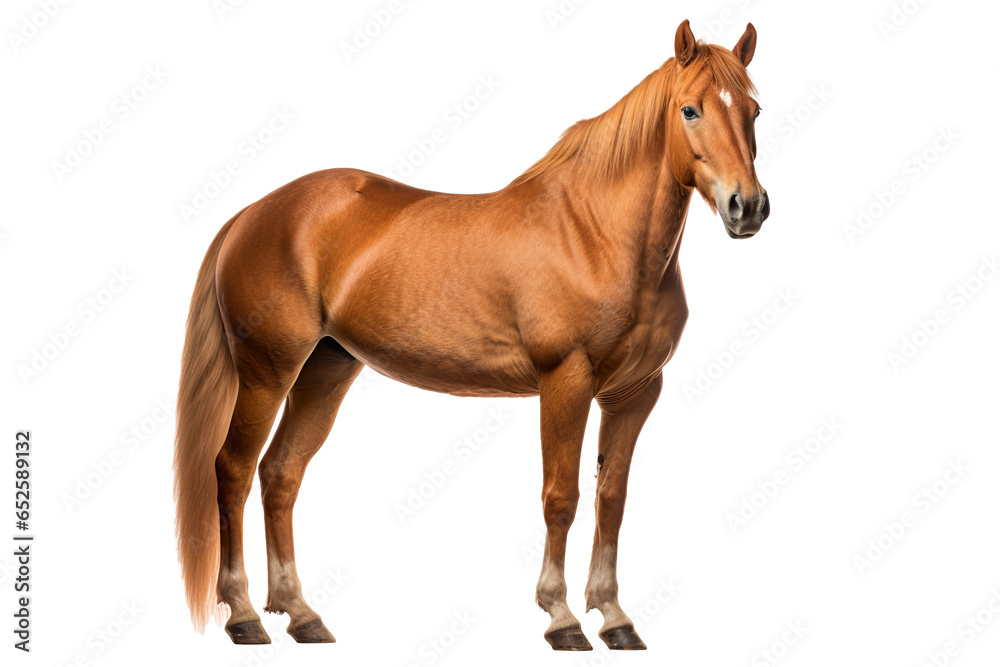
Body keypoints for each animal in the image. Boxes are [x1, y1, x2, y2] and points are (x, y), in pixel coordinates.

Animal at [173, 19, 769, 651]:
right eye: (689, 110)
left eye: (754, 109)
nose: (748, 207)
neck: (595, 233)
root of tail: (254, 212)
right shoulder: (566, 381)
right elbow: (561, 496)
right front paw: (561, 617)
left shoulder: (634, 393)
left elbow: (612, 498)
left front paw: (615, 617)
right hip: (268, 371)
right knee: (233, 470)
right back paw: (244, 614)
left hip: (326, 369)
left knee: (281, 474)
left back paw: (301, 614)